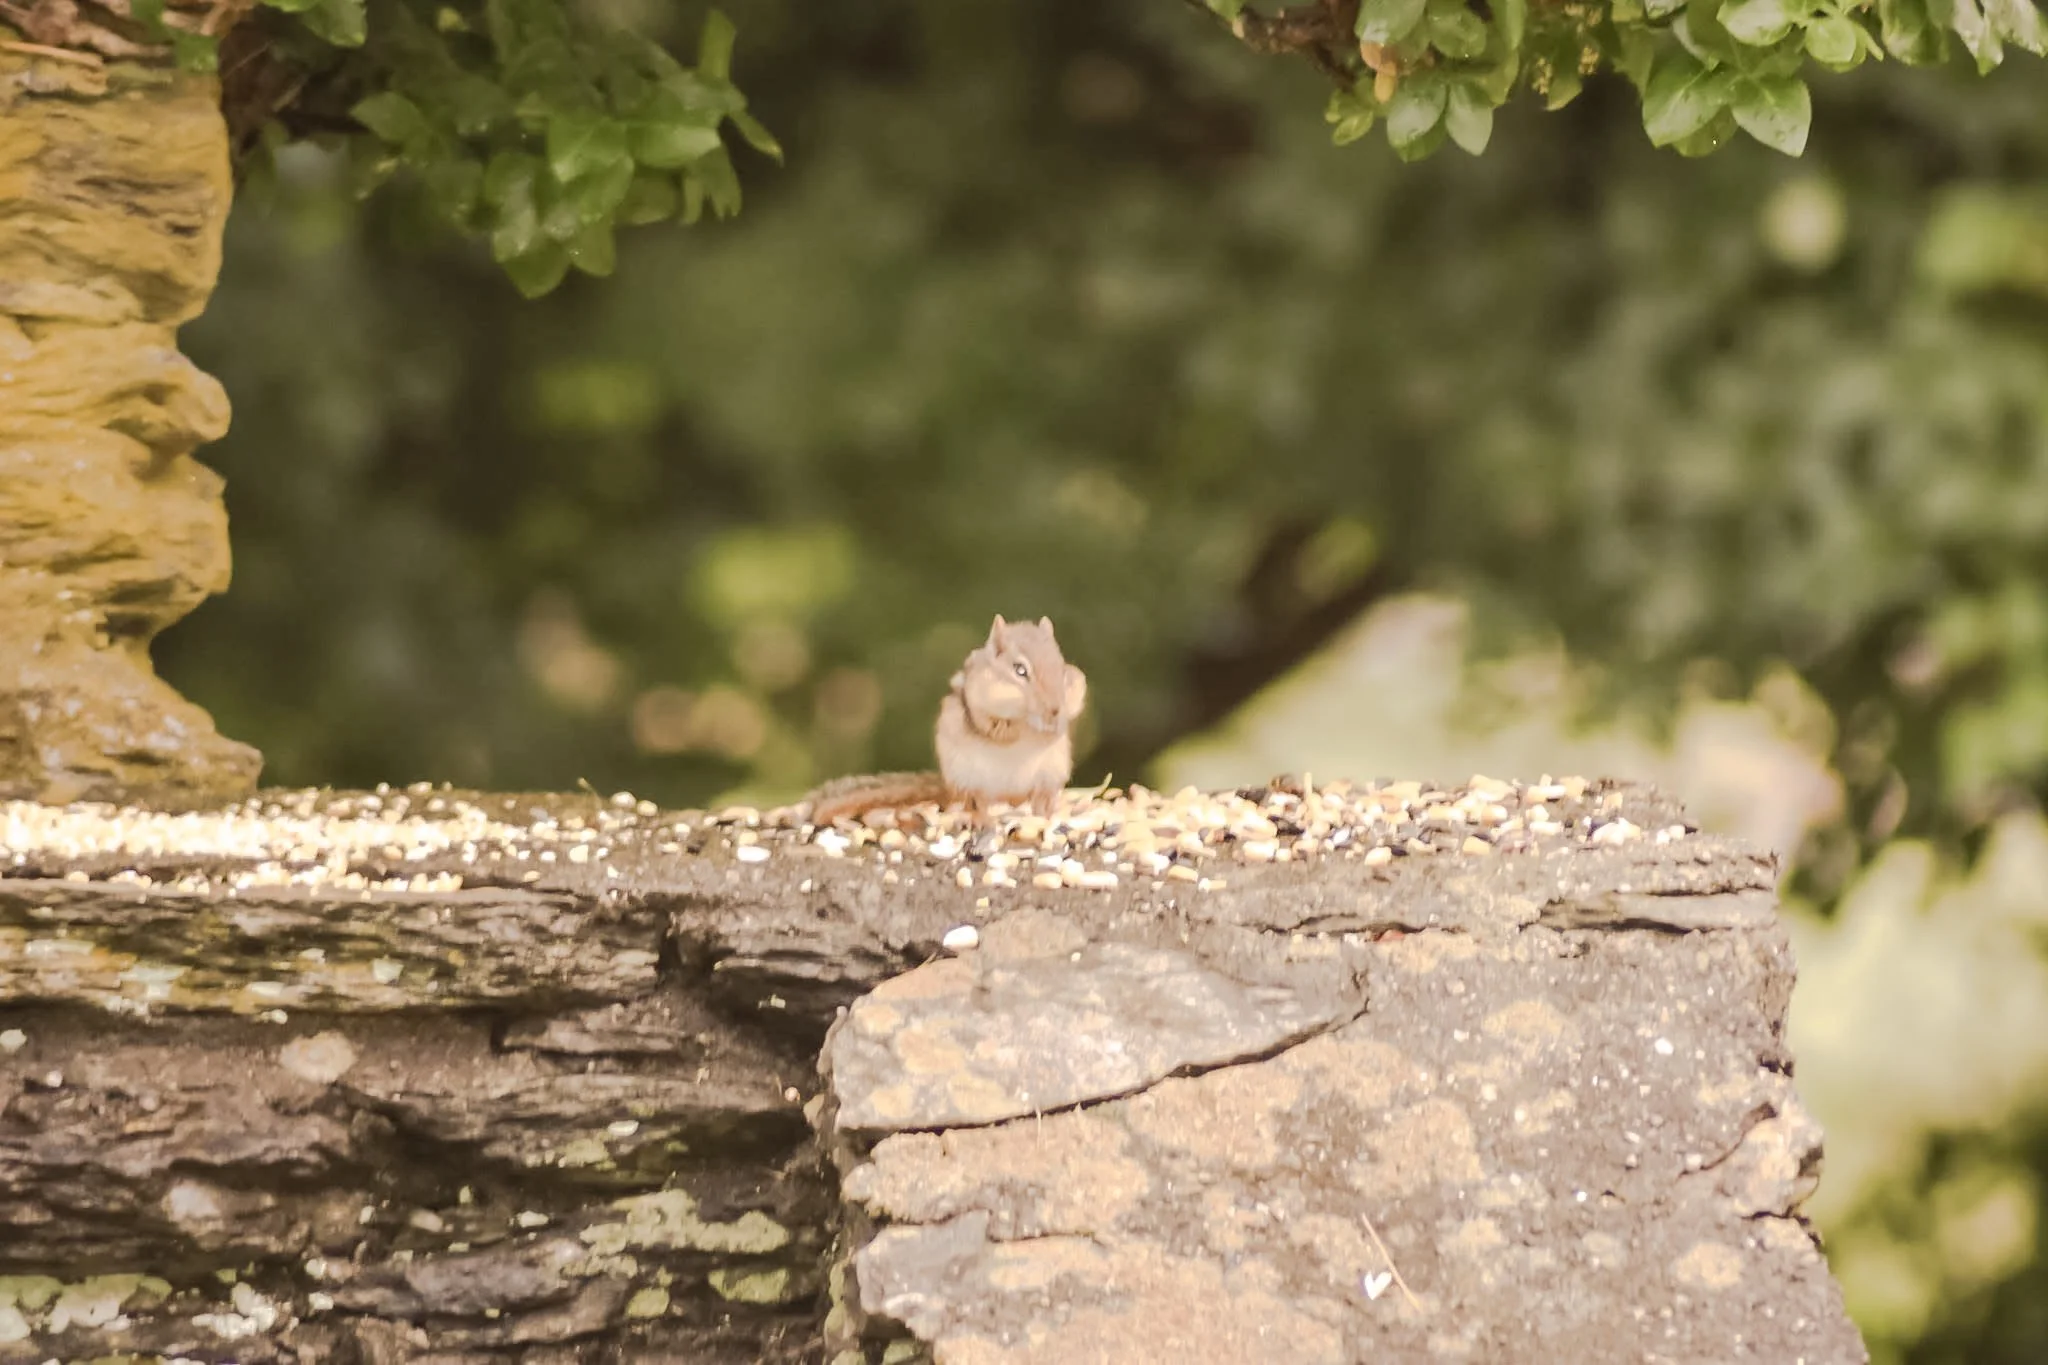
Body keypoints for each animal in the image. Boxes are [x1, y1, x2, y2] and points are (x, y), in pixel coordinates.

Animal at [806, 614, 1088, 825]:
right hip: (967, 778)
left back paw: (1048, 813)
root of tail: (1009, 795)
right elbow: (996, 727)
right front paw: (1023, 727)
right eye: (1020, 671)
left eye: (1061, 667)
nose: (1054, 709)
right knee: (976, 802)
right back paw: (982, 819)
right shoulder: (978, 704)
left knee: (1041, 798)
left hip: (1052, 772)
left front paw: (1058, 726)